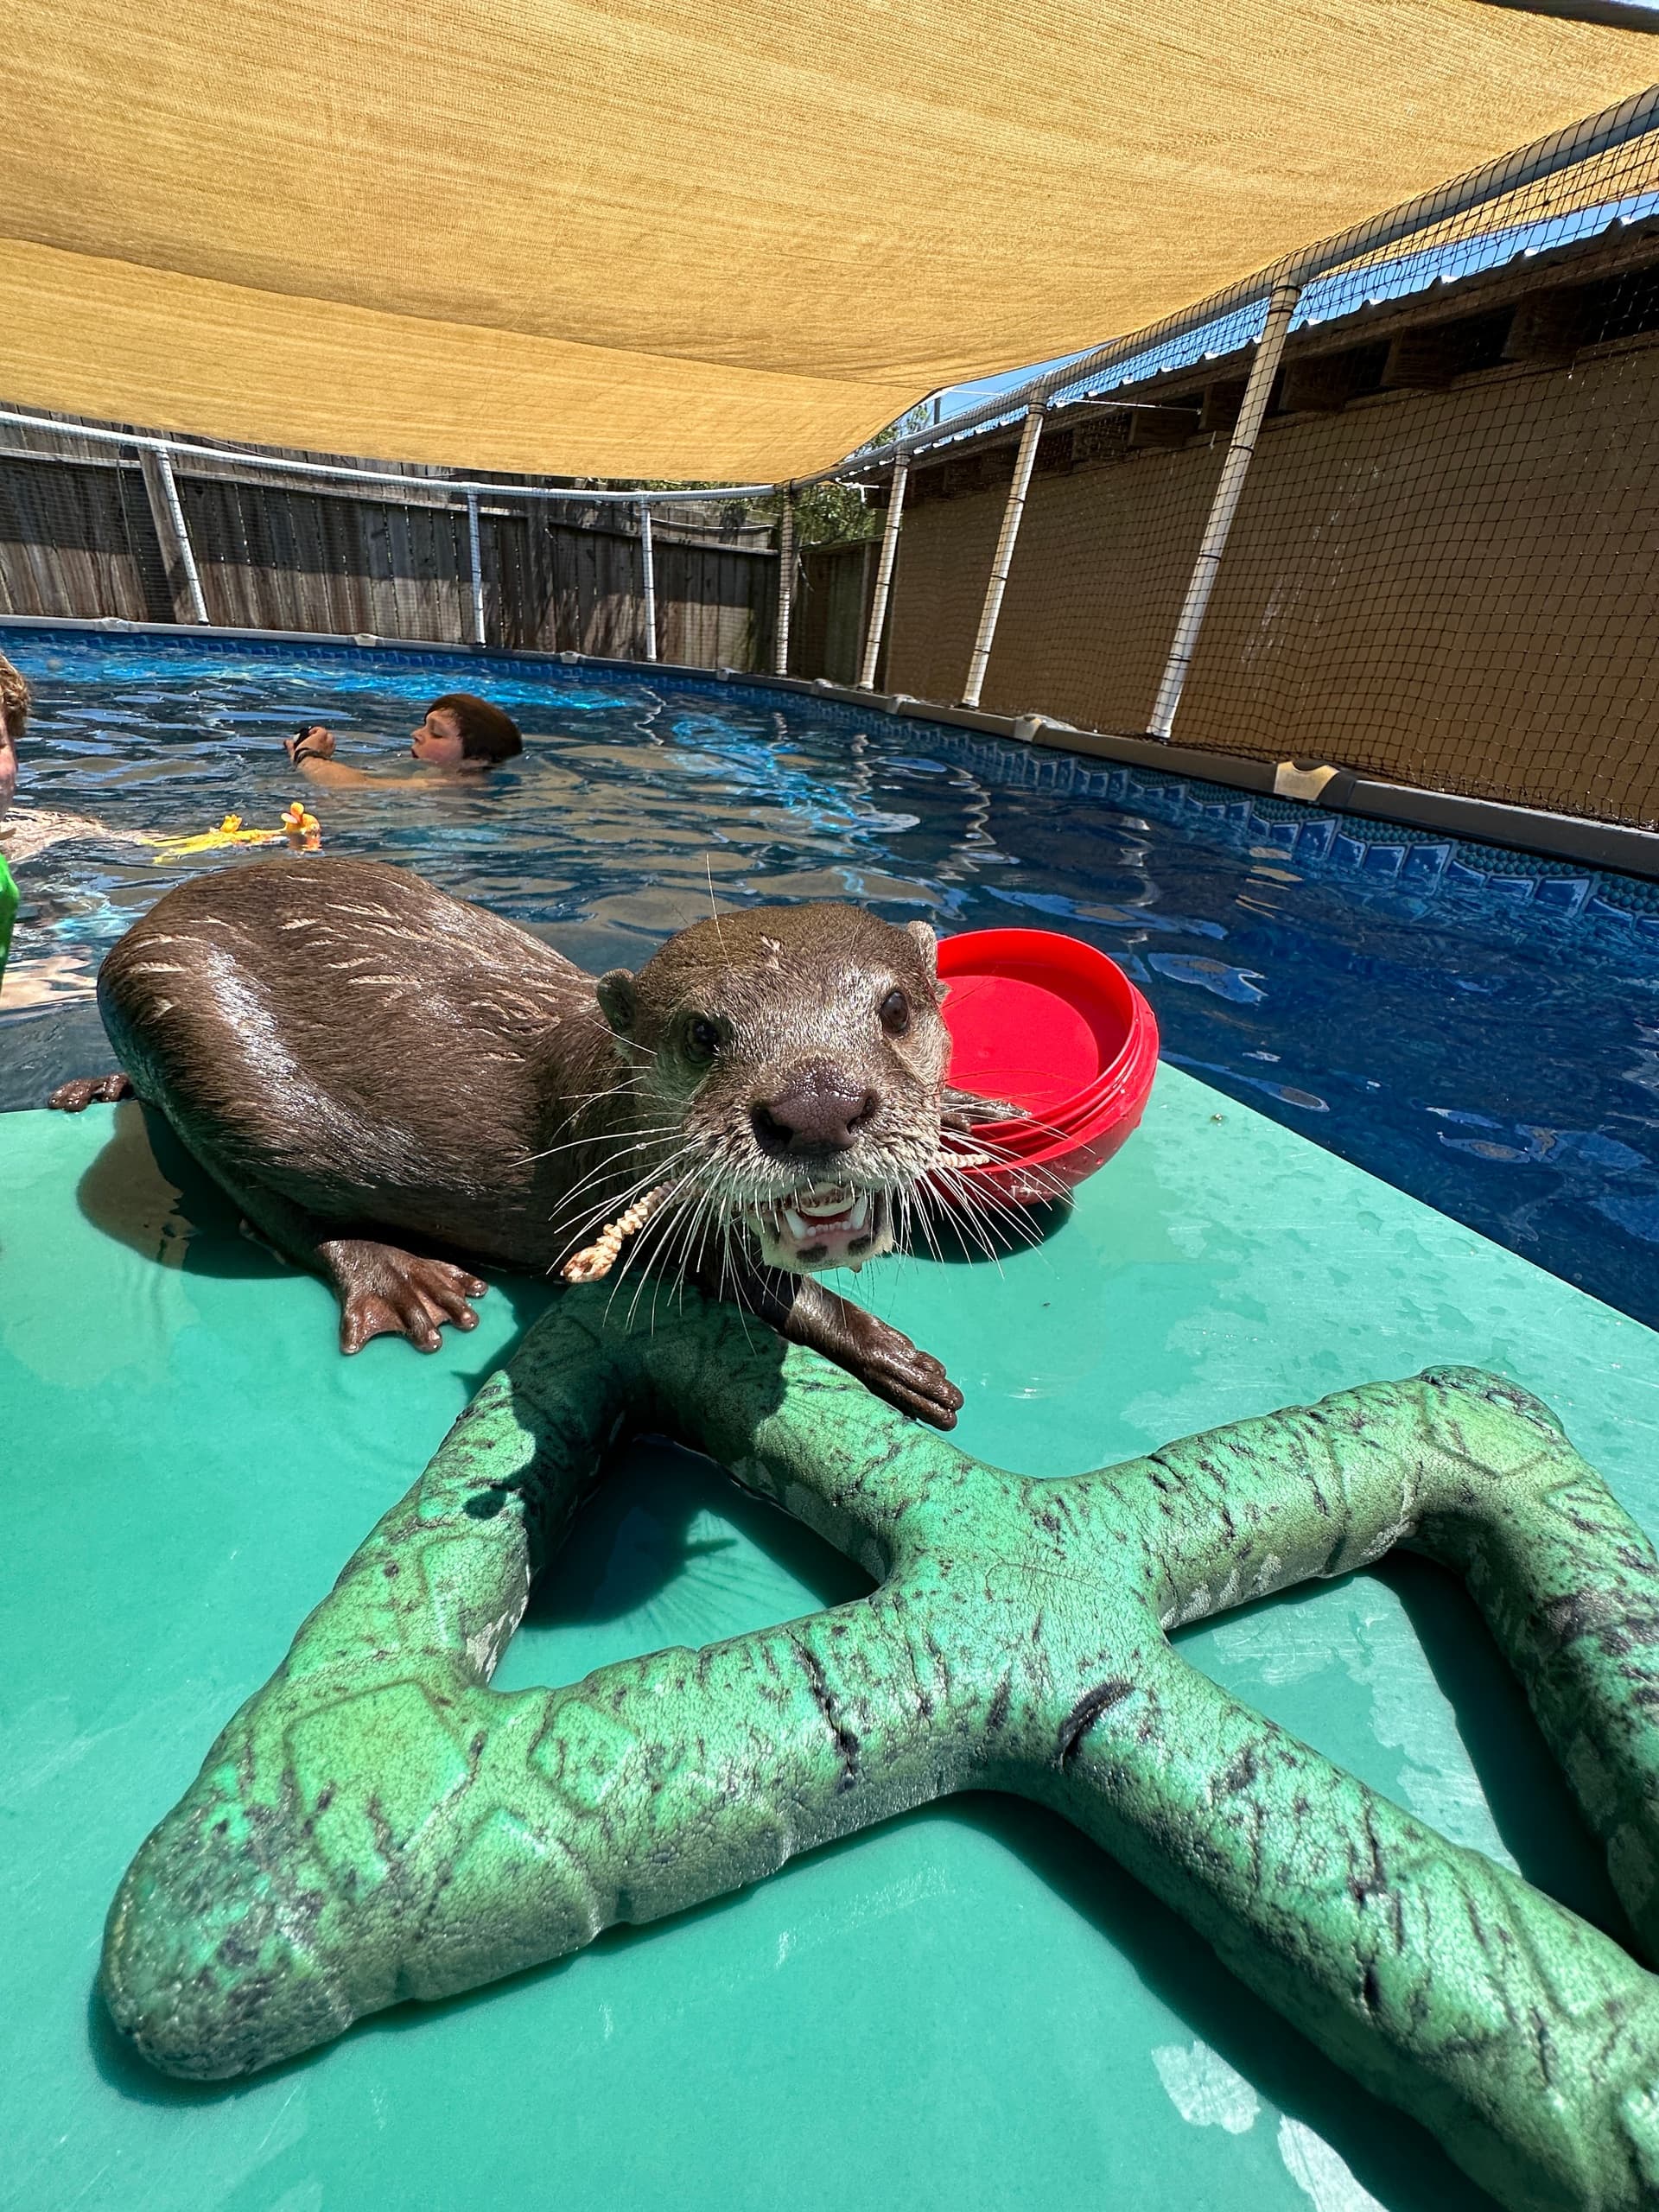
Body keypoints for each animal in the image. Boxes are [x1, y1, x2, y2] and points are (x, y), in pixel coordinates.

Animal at [49, 857, 970, 1427]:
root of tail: (139, 931)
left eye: (896, 1008)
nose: (816, 1106)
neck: (599, 1096)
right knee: (267, 1206)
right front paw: (891, 1356)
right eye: (702, 1034)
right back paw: (402, 1280)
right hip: (196, 1041)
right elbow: (745, 1282)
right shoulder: (621, 1193)